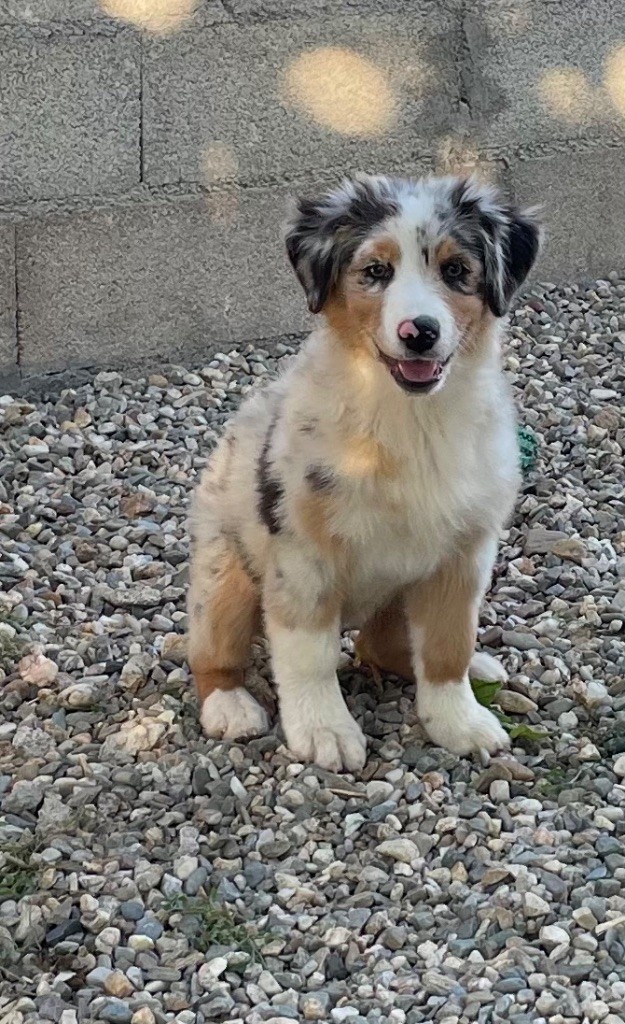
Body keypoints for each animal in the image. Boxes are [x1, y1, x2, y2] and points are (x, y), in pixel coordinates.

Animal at [188, 173, 541, 772]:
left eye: (455, 271)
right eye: (376, 271)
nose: (419, 332)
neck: (410, 421)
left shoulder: (465, 555)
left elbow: (448, 645)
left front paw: (459, 722)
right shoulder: (302, 556)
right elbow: (308, 655)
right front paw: (324, 731)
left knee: (386, 648)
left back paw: (479, 669)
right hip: (225, 576)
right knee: (212, 652)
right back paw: (230, 705)